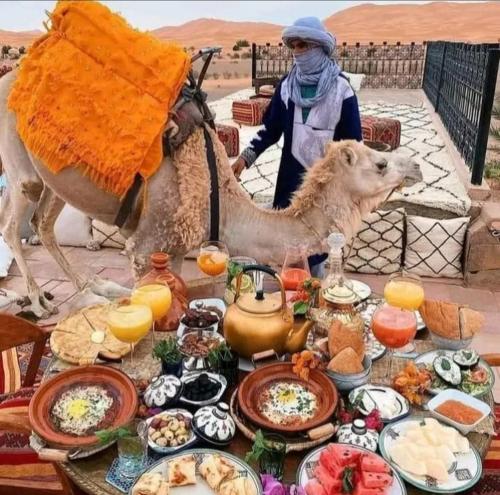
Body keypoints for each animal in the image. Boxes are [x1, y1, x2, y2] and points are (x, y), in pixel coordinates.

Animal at [0, 69, 422, 318]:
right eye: (380, 164)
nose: (415, 167)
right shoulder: (146, 243)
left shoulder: (176, 243)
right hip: (20, 160)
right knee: (14, 220)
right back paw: (37, 301)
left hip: (54, 179)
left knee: (43, 223)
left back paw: (92, 290)